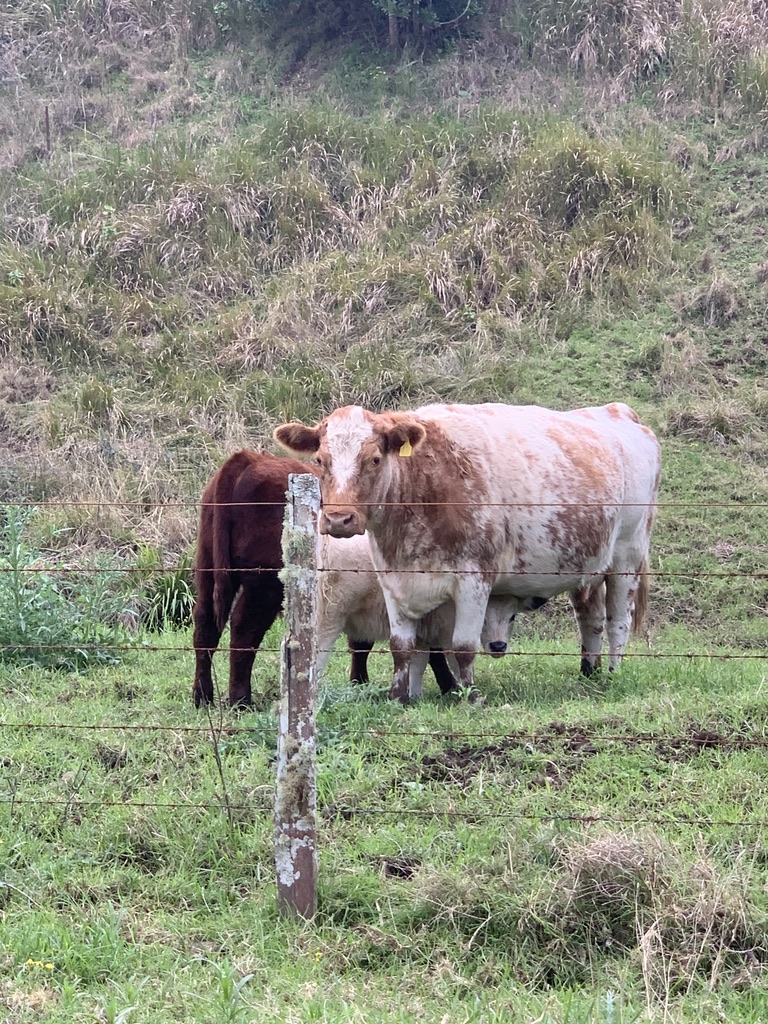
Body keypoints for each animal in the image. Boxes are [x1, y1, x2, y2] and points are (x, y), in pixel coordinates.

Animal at [191, 449, 457, 707]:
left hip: (208, 569)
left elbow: (362, 644)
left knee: (205, 625)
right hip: (265, 586)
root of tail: (248, 459)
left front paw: (359, 683)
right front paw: (450, 687)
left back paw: (202, 696)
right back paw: (241, 700)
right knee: (243, 630)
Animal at [274, 401, 661, 704]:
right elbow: (402, 646)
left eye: (374, 459)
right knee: (590, 618)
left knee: (618, 620)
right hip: (589, 566)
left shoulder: (474, 578)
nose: (339, 519)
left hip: (627, 555)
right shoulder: (392, 579)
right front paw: (399, 697)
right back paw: (588, 672)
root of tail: (618, 411)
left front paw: (470, 696)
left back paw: (611, 673)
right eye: (320, 459)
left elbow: (462, 645)